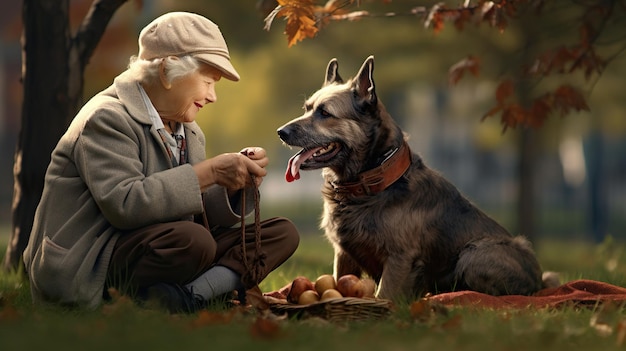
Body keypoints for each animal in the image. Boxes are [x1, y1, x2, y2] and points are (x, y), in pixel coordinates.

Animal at [276, 55, 552, 302]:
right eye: (307, 108)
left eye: (325, 113)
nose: (281, 132)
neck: (371, 182)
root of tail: (539, 282)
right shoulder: (344, 255)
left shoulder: (399, 259)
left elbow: (384, 296)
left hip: (474, 254)